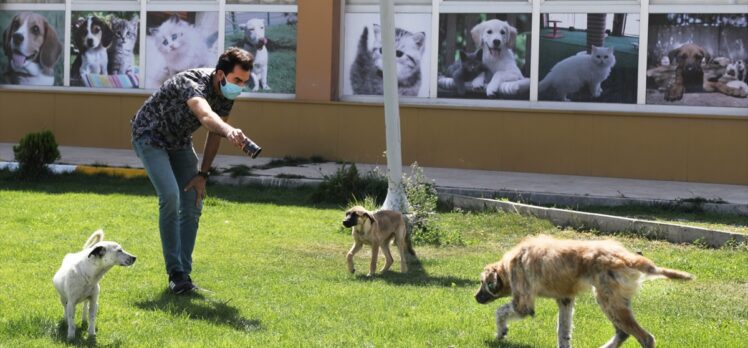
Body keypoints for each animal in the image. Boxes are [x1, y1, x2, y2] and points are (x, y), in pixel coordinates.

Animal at [476, 235, 692, 346]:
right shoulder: (565, 300)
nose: (475, 297)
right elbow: (563, 332)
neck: (509, 264)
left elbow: (500, 312)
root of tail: (627, 257)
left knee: (645, 338)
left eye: (482, 283)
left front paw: (500, 333)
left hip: (608, 301)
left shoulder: (523, 304)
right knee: (623, 333)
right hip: (616, 302)